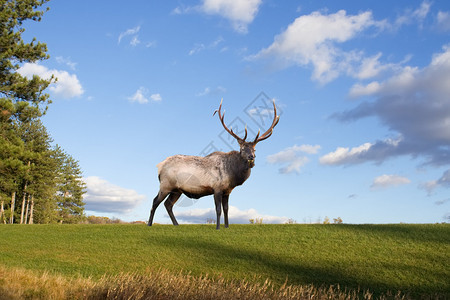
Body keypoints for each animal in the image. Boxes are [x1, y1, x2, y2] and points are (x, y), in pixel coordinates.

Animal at [149, 99, 280, 229]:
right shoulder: (216, 188)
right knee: (155, 201)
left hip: (177, 190)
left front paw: (227, 227)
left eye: (254, 150)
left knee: (168, 204)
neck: (232, 175)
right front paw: (217, 227)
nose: (251, 157)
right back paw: (149, 224)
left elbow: (226, 209)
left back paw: (176, 224)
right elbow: (218, 209)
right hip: (166, 184)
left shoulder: (227, 191)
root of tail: (160, 166)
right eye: (242, 149)